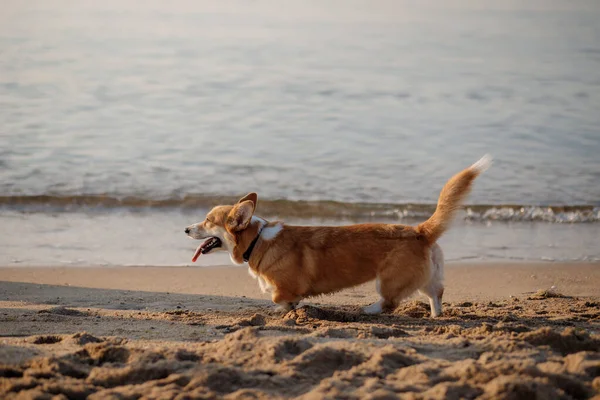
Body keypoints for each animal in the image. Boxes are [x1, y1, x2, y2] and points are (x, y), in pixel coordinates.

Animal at [184, 155, 492, 318]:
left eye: (208, 220)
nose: (185, 229)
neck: (258, 239)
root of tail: (420, 230)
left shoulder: (285, 286)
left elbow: (278, 297)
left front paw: (287, 309)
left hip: (387, 279)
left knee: (389, 302)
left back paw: (367, 310)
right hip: (427, 277)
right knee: (436, 293)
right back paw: (435, 315)